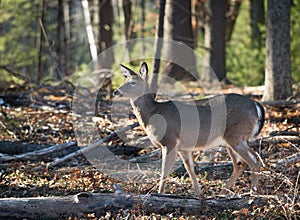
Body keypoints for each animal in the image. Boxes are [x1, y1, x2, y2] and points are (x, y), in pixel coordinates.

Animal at [113, 62, 264, 199]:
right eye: (125, 80)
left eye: (133, 82)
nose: (116, 91)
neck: (153, 114)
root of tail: (256, 106)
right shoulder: (183, 147)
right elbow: (190, 170)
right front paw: (199, 195)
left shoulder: (169, 141)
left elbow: (164, 171)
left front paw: (159, 194)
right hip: (230, 140)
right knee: (240, 164)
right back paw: (222, 194)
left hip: (235, 135)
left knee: (254, 161)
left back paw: (253, 193)